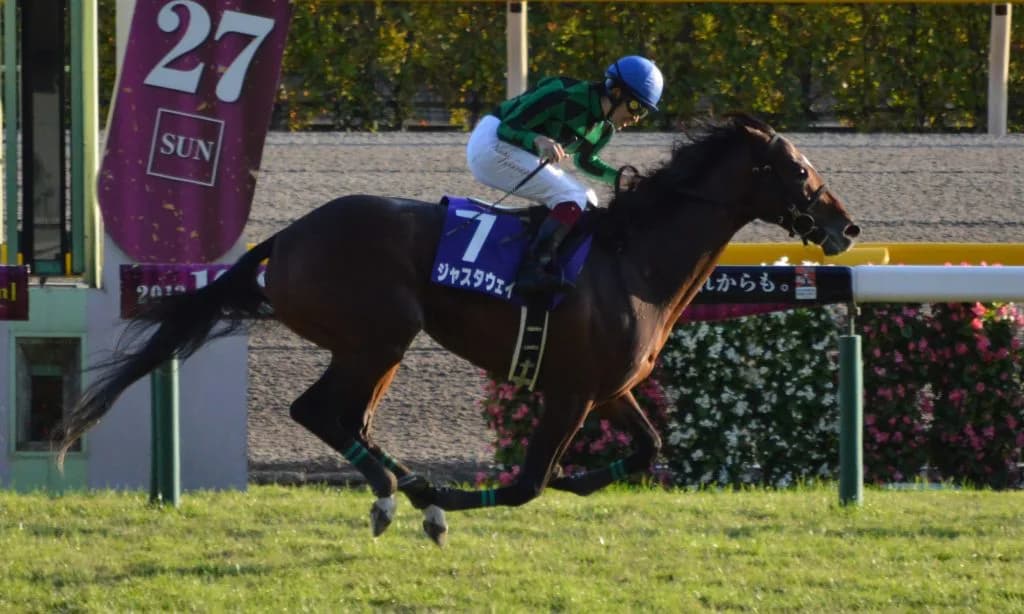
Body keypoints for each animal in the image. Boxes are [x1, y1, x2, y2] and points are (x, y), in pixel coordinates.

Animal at [57, 114, 859, 546]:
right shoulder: (569, 393)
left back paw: (397, 486)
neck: (632, 260)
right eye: (798, 168)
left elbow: (646, 450)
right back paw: (406, 492)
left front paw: (579, 479)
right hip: (381, 332)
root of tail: (284, 237)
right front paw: (451, 500)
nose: (846, 227)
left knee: (346, 417)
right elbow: (526, 486)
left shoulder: (610, 388)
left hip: (379, 345)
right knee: (314, 409)